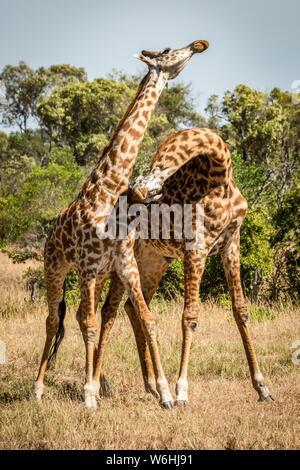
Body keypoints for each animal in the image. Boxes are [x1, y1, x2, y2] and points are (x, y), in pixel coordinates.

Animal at [34, 40, 209, 408]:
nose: (197, 45)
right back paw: (39, 388)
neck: (109, 190)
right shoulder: (87, 265)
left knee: (80, 315)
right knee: (54, 319)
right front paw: (88, 395)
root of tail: (51, 229)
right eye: (168, 51)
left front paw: (165, 394)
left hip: (99, 276)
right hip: (55, 266)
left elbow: (148, 319)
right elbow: (88, 325)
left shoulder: (124, 264)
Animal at [95, 126, 274, 406]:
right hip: (125, 262)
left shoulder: (231, 243)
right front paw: (181, 391)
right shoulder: (197, 246)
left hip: (154, 261)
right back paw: (103, 385)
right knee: (108, 311)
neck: (220, 175)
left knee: (130, 308)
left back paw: (151, 385)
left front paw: (262, 387)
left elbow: (241, 311)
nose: (134, 194)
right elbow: (190, 315)